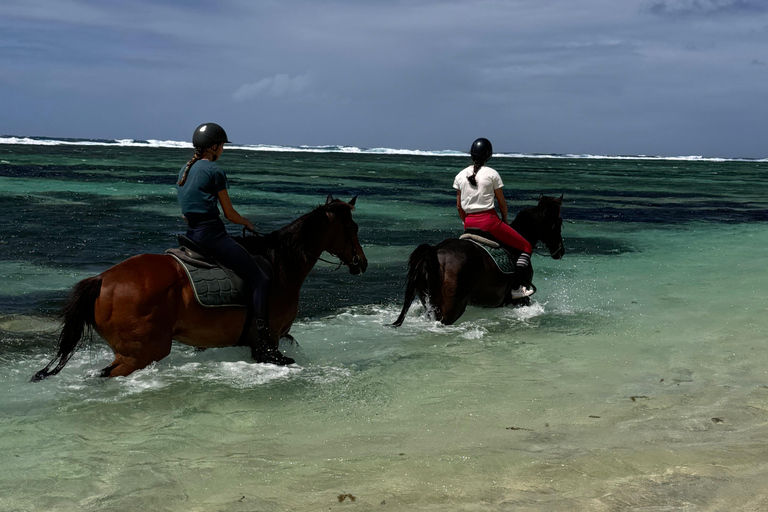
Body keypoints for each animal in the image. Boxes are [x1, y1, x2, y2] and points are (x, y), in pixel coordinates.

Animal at [30, 196, 366, 380]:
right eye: (352, 227)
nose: (361, 263)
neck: (281, 263)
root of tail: (102, 280)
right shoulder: (266, 342)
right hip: (140, 354)